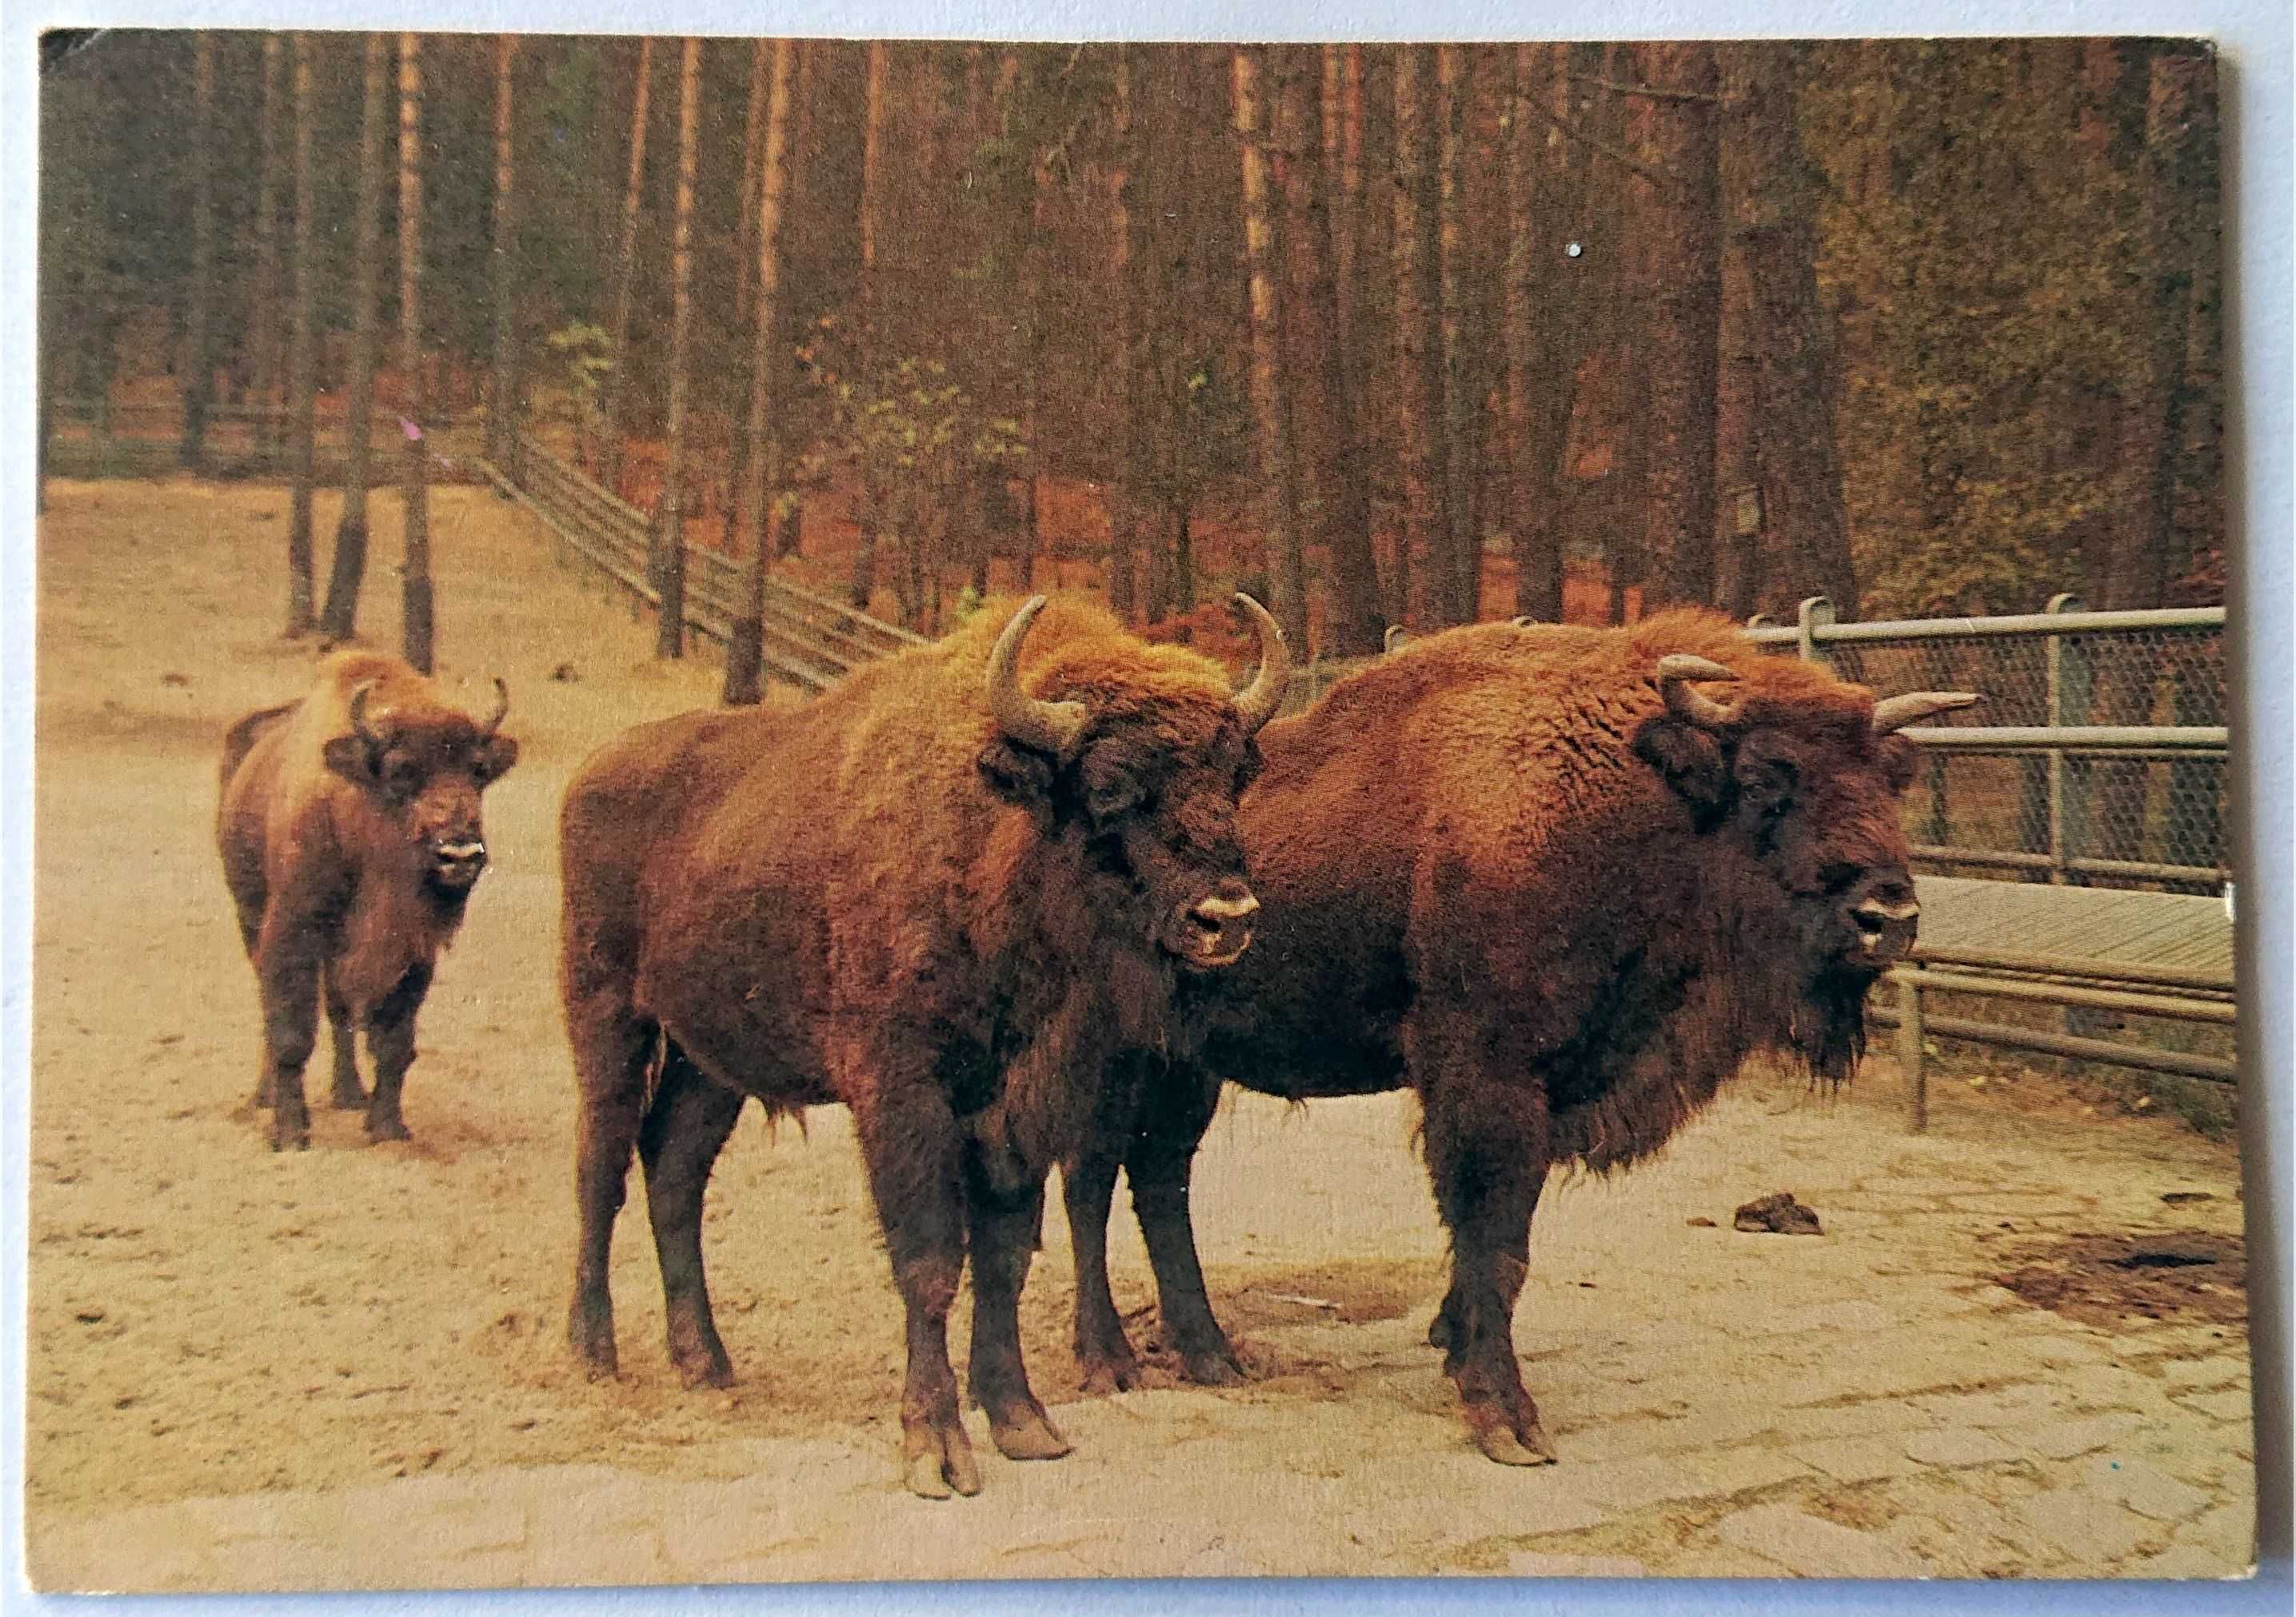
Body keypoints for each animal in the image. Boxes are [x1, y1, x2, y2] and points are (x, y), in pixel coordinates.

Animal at [215, 647, 521, 1148]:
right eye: (400, 771)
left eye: (477, 772)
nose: (459, 853)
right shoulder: (293, 928)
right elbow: (290, 1030)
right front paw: (290, 1133)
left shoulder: (413, 948)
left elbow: (393, 1040)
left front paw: (388, 1127)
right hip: (250, 915)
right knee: (273, 1002)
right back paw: (263, 1097)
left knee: (340, 1011)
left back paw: (349, 1094)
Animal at [549, 593, 1285, 1507]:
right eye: (1111, 786)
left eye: (1235, 777)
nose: (1227, 916)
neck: (994, 836)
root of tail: (596, 768)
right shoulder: (902, 1094)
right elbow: (930, 1258)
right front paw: (934, 1450)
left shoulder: (1010, 1107)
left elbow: (1002, 1255)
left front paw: (1022, 1422)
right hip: (607, 1012)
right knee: (602, 1166)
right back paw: (594, 1352)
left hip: (709, 1060)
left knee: (674, 1173)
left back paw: (706, 1363)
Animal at [1056, 606, 1975, 1470]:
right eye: (1764, 778)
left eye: (1889, 778)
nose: (1887, 915)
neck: (1636, 794)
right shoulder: (1489, 1074)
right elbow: (1495, 1231)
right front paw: (1506, 1416)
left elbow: (1496, 1237)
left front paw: (1452, 1339)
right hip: (1108, 1052)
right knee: (1091, 1179)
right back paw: (1108, 1362)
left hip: (1184, 1066)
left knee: (1160, 1177)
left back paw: (1209, 1353)